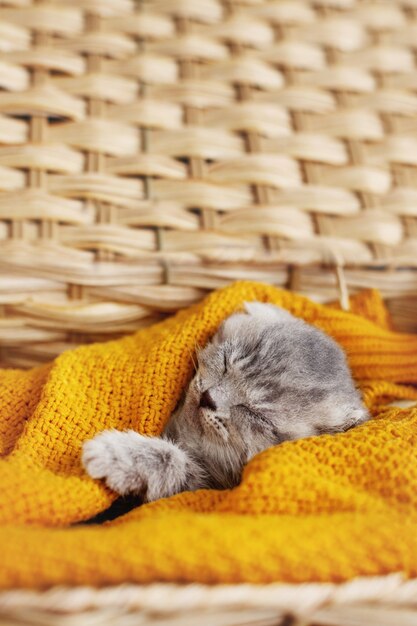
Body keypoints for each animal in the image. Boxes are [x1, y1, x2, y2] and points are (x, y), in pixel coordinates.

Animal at [81, 300, 368, 500]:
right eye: (228, 361)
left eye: (255, 413)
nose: (209, 397)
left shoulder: (207, 487)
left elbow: (178, 466)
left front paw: (117, 455)